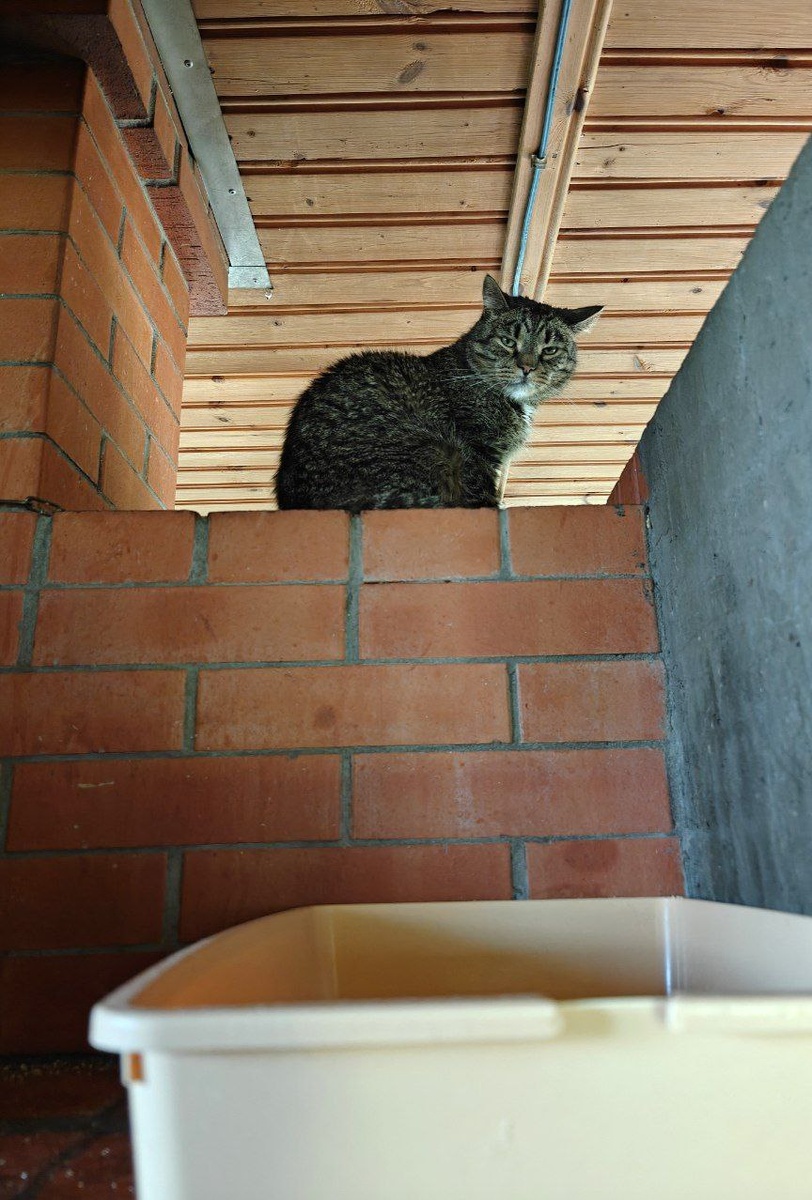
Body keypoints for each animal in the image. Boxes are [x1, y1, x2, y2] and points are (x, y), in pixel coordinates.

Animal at [274, 274, 603, 511]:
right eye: (509, 341)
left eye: (549, 350)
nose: (527, 367)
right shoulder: (477, 451)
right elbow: (481, 495)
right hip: (431, 450)